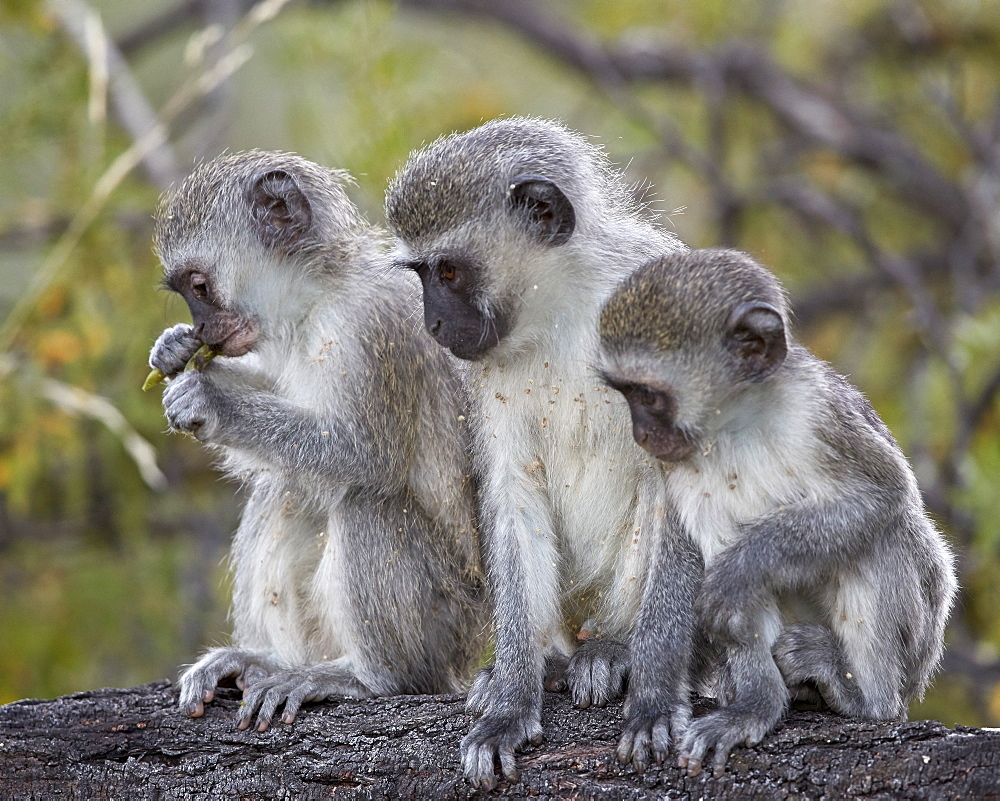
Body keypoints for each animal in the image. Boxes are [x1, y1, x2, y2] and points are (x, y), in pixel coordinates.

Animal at [146, 150, 486, 732]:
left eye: (200, 287)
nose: (203, 330)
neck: (319, 298)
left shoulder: (369, 330)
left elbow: (362, 454)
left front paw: (211, 401)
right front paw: (172, 353)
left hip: (448, 626)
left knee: (366, 501)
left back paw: (369, 678)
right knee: (283, 490)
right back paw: (264, 660)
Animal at [386, 119, 692, 788]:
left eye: (448, 273)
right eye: (421, 274)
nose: (433, 326)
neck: (566, 311)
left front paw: (655, 698)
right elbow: (512, 491)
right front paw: (510, 704)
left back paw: (613, 648)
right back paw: (535, 666)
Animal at [596, 248, 956, 776]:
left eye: (647, 395)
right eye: (624, 393)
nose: (640, 434)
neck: (736, 422)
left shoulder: (818, 412)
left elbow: (881, 496)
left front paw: (741, 568)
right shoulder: (678, 461)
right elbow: (702, 554)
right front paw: (753, 707)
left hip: (921, 643)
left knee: (884, 537)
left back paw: (865, 696)